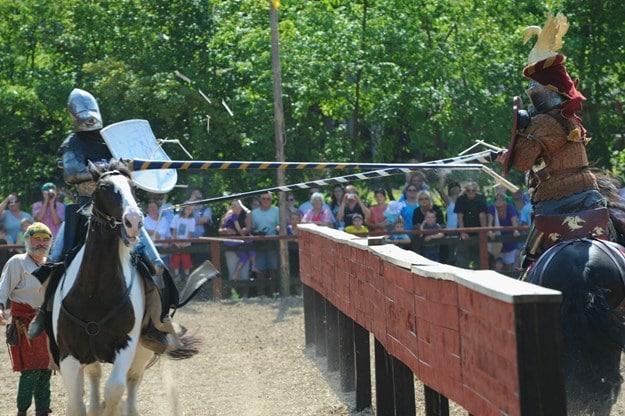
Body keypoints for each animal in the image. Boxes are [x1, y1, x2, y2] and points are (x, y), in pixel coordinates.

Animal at [50, 160, 194, 416]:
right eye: (104, 187)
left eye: (133, 188)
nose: (134, 221)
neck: (94, 292)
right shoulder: (68, 353)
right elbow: (76, 402)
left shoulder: (125, 346)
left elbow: (115, 389)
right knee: (95, 376)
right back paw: (95, 405)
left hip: (143, 349)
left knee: (132, 381)